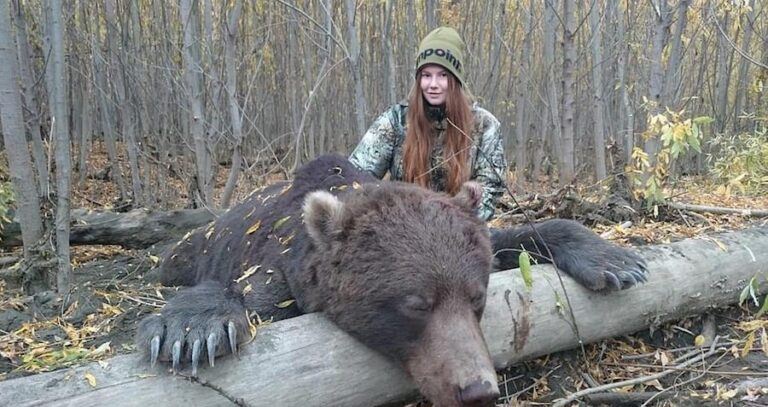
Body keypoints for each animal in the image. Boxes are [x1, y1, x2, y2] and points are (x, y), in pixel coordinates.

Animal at [136, 154, 647, 407]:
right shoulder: (281, 265)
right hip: (196, 243)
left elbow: (515, 237)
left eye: (476, 297)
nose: (477, 391)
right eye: (416, 304)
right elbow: (245, 290)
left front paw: (617, 259)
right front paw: (190, 329)